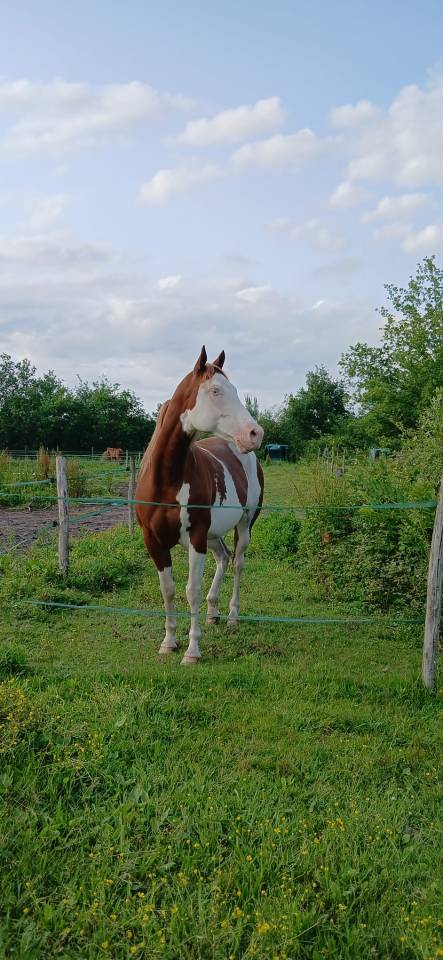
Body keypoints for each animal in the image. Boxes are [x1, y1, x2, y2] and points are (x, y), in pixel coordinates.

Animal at [136, 346, 264, 665]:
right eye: (216, 390)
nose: (255, 433)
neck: (167, 480)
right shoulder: (154, 541)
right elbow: (168, 590)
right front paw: (169, 641)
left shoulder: (196, 538)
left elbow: (190, 591)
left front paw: (192, 650)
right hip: (213, 534)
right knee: (223, 558)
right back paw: (213, 611)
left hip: (243, 525)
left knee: (238, 562)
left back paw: (231, 616)